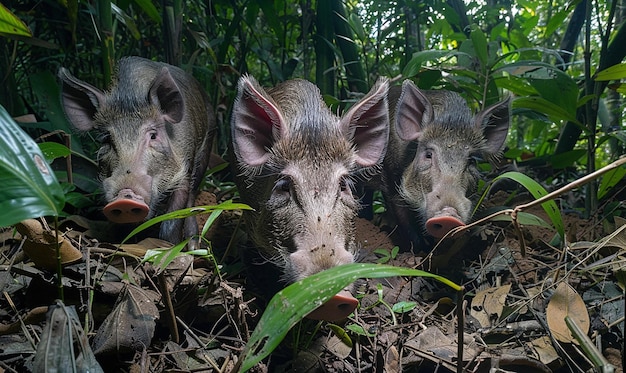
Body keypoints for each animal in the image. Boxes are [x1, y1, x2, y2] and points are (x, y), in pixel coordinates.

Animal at [58, 56, 214, 247]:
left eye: (153, 135)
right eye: (107, 139)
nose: (125, 195)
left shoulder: (185, 167)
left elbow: (173, 218)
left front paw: (169, 246)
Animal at [380, 81, 508, 248]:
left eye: (471, 161)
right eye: (428, 155)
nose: (449, 216)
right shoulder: (391, 179)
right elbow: (403, 219)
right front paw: (420, 247)